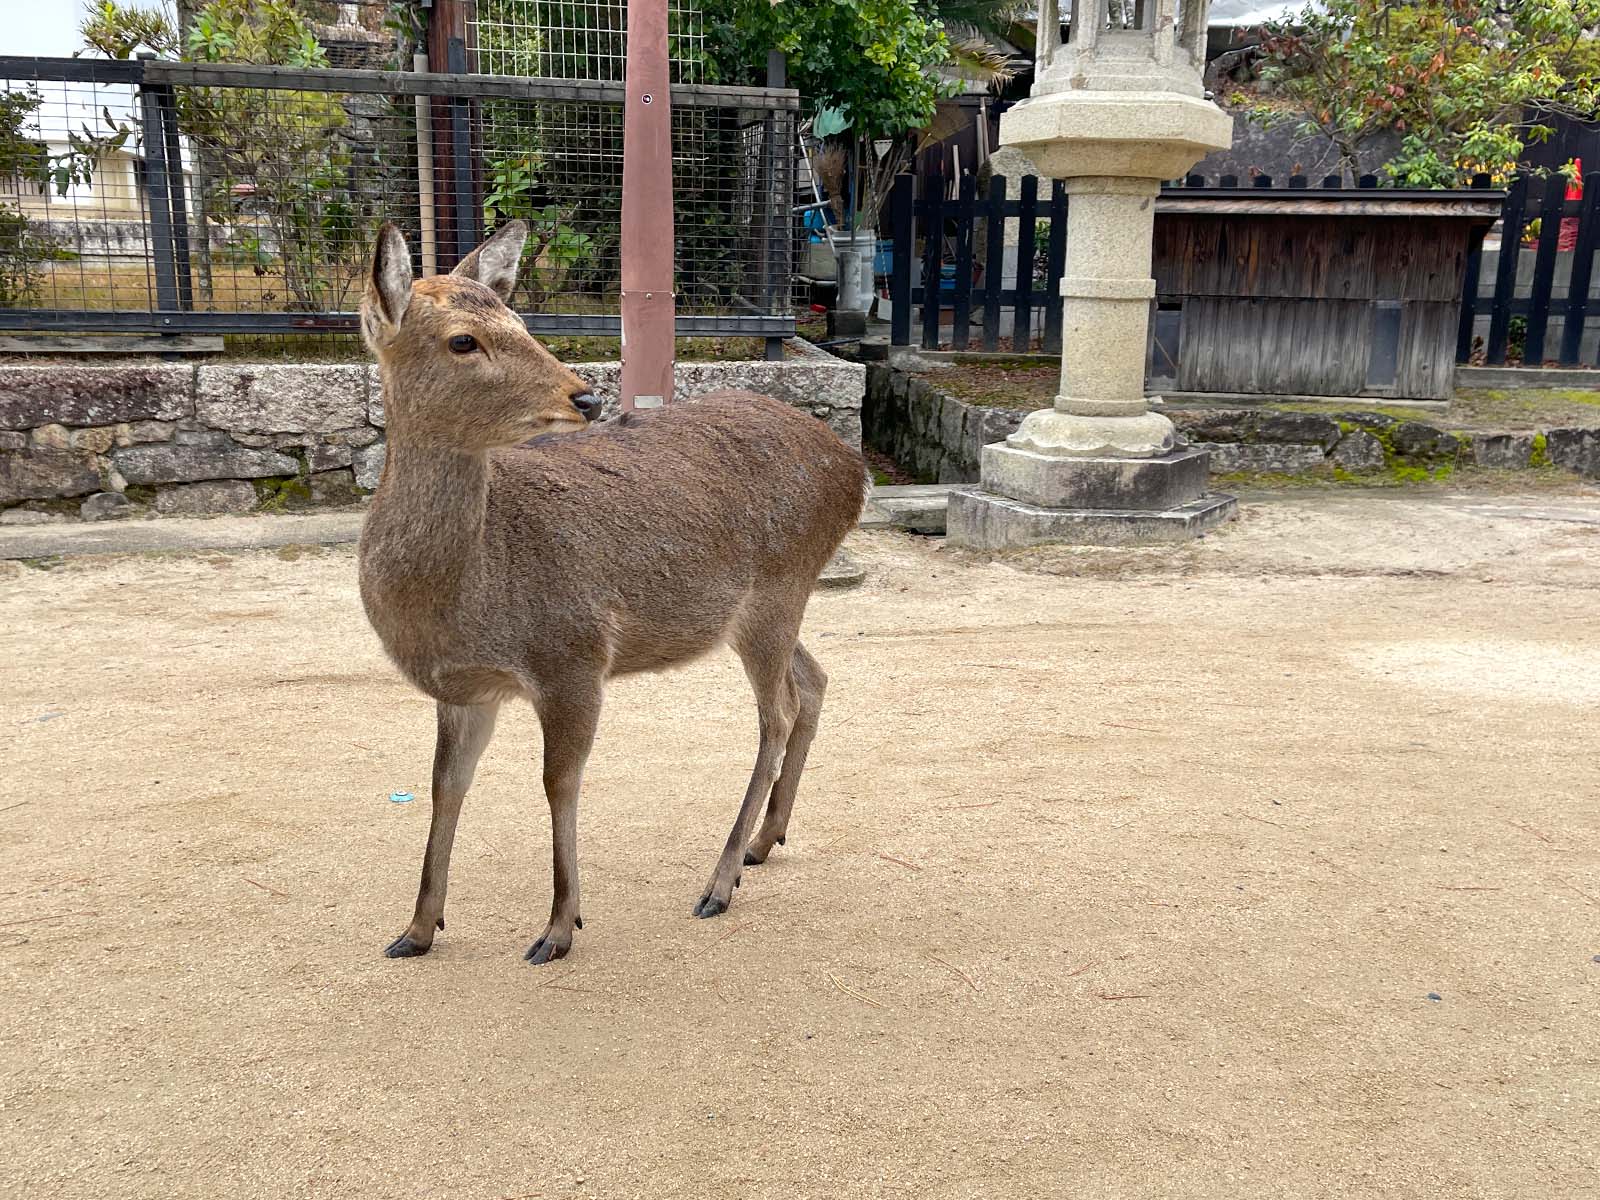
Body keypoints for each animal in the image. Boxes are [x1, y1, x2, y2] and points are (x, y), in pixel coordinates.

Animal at [358, 219, 870, 966]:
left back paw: (719, 880)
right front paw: (416, 929)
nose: (586, 396)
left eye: (521, 321)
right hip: (769, 605)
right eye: (462, 339)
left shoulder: (572, 658)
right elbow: (444, 787)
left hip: (778, 589)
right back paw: (763, 841)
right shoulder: (465, 688)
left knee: (776, 711)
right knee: (815, 679)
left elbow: (558, 782)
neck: (466, 596)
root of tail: (855, 469)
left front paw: (558, 926)